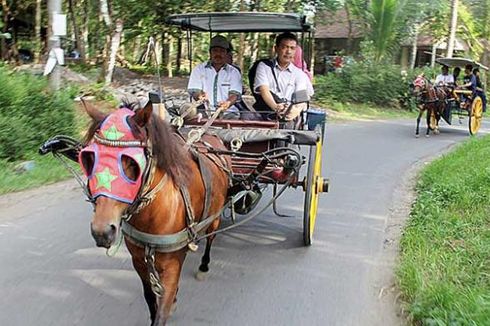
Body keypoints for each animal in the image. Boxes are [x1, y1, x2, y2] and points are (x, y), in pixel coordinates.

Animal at [79, 100, 232, 324]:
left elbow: (161, 312)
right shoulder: (139, 261)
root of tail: (213, 138)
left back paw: (204, 266)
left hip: (215, 216)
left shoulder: (172, 264)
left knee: (211, 237)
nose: (102, 231)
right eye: (89, 159)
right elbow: (150, 297)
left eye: (132, 163)